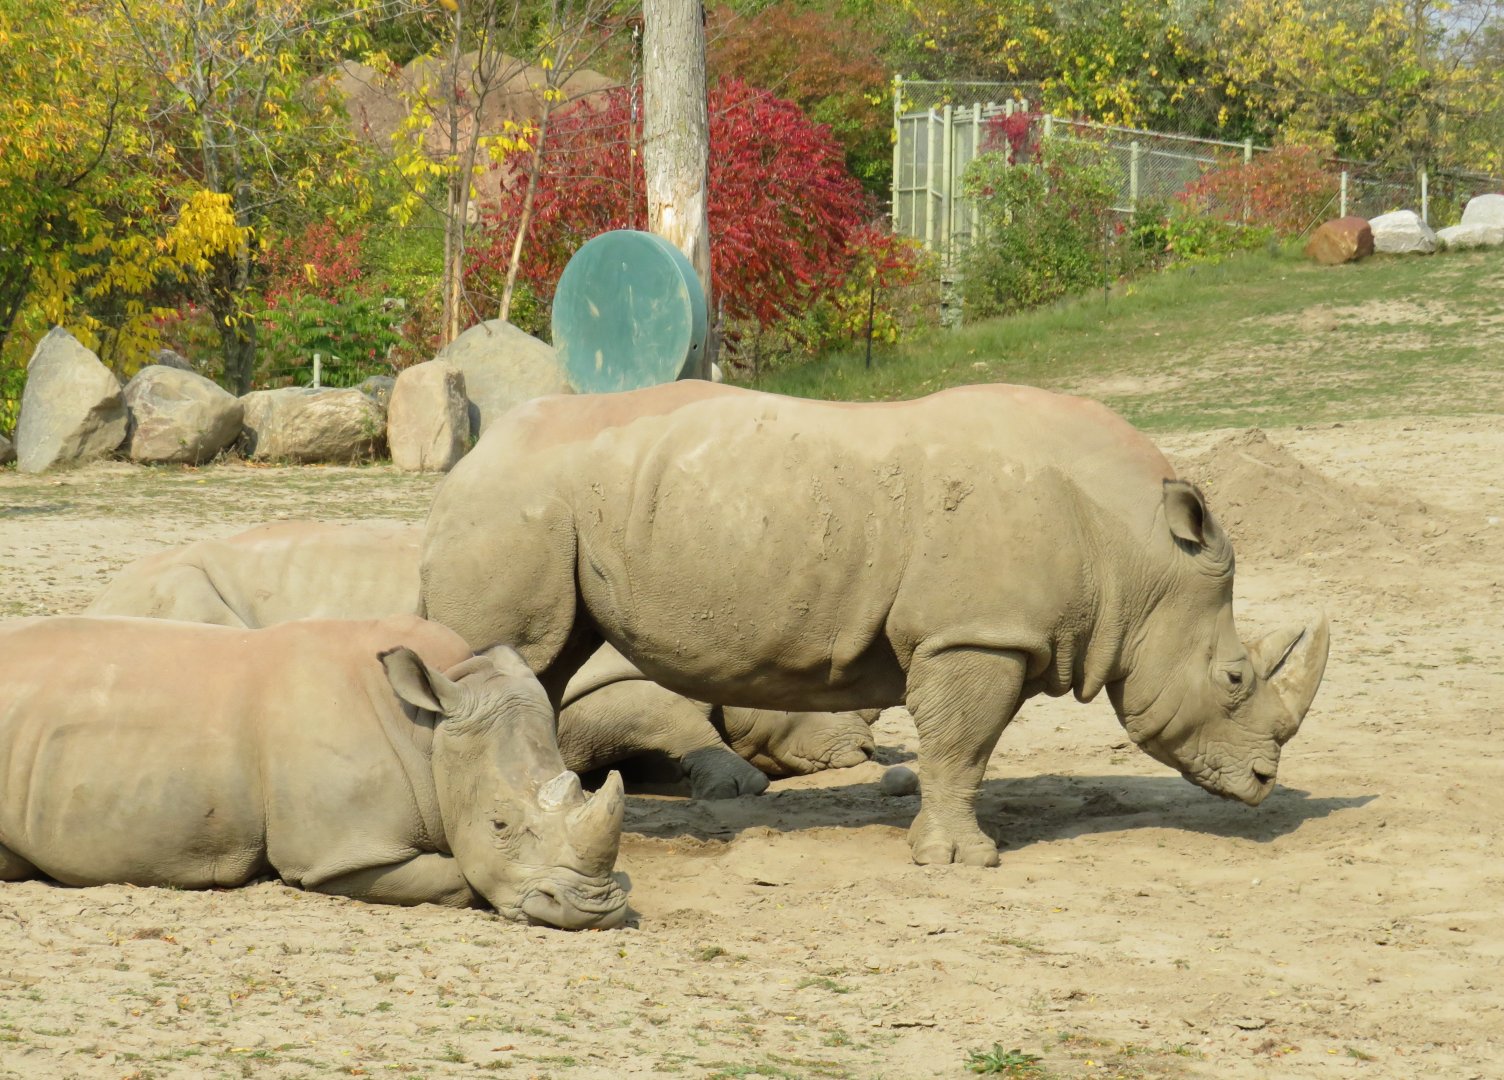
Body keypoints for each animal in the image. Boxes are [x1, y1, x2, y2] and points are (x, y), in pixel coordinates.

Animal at [420, 381, 1331, 867]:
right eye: (1235, 678)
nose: (1263, 783)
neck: (1136, 553)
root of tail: (469, 461)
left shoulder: (981, 632)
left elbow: (958, 751)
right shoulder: (978, 633)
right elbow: (963, 748)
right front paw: (963, 861)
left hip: (544, 508)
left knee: (544, 666)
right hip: (517, 505)